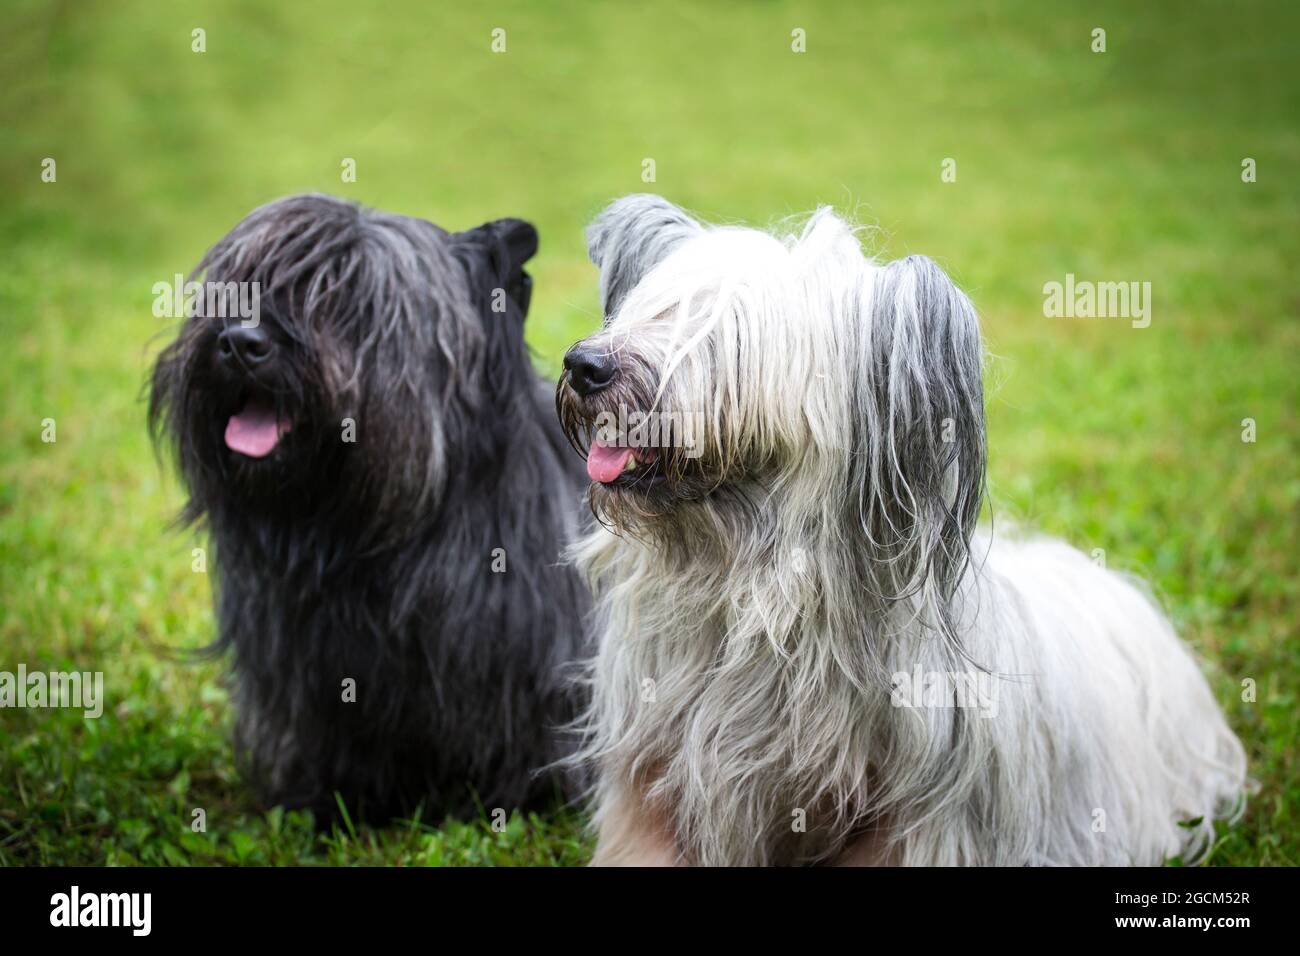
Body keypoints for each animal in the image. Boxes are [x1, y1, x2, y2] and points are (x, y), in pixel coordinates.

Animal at [553, 196, 1242, 868]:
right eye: (648, 311)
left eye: (722, 333)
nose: (584, 365)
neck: (752, 593)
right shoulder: (656, 774)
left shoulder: (913, 816)